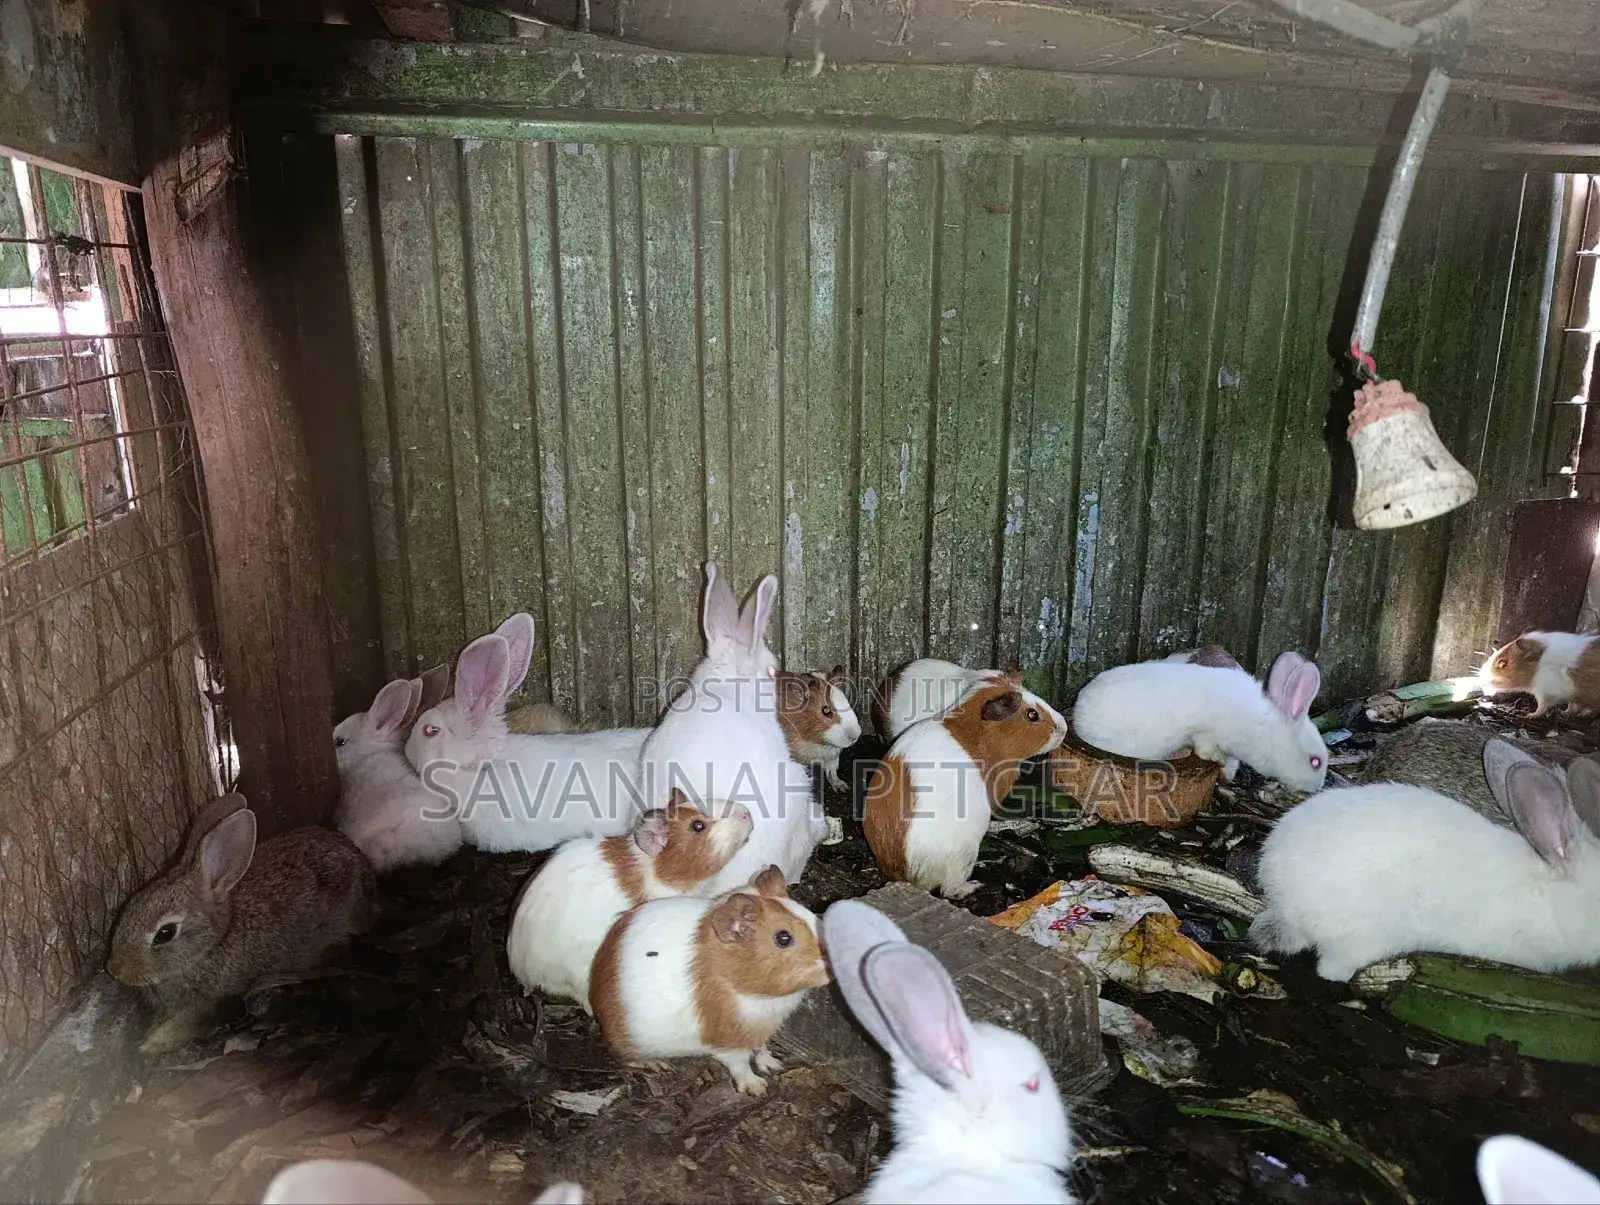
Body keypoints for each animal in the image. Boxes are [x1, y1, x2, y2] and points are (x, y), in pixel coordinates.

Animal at [106, 794, 379, 1054]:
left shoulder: (218, 999)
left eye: (165, 933)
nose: (115, 969)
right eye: (130, 905)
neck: (213, 945)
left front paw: (152, 1044)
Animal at [590, 866, 829, 1095]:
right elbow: (742, 1066)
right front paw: (758, 1088)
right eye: (783, 938)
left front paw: (774, 1065)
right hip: (628, 1044)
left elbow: (761, 1049)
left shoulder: (761, 1031)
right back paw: (659, 1065)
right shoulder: (729, 1043)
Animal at [863, 675, 1067, 899]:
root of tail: (906, 873)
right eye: (1032, 714)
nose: (1064, 728)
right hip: (963, 858)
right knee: (950, 890)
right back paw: (974, 886)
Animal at [1071, 650, 1328, 792]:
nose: (1317, 787)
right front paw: (1217, 760)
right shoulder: (1208, 732)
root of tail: (1078, 715)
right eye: (1315, 762)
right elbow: (1205, 748)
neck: (1264, 728)